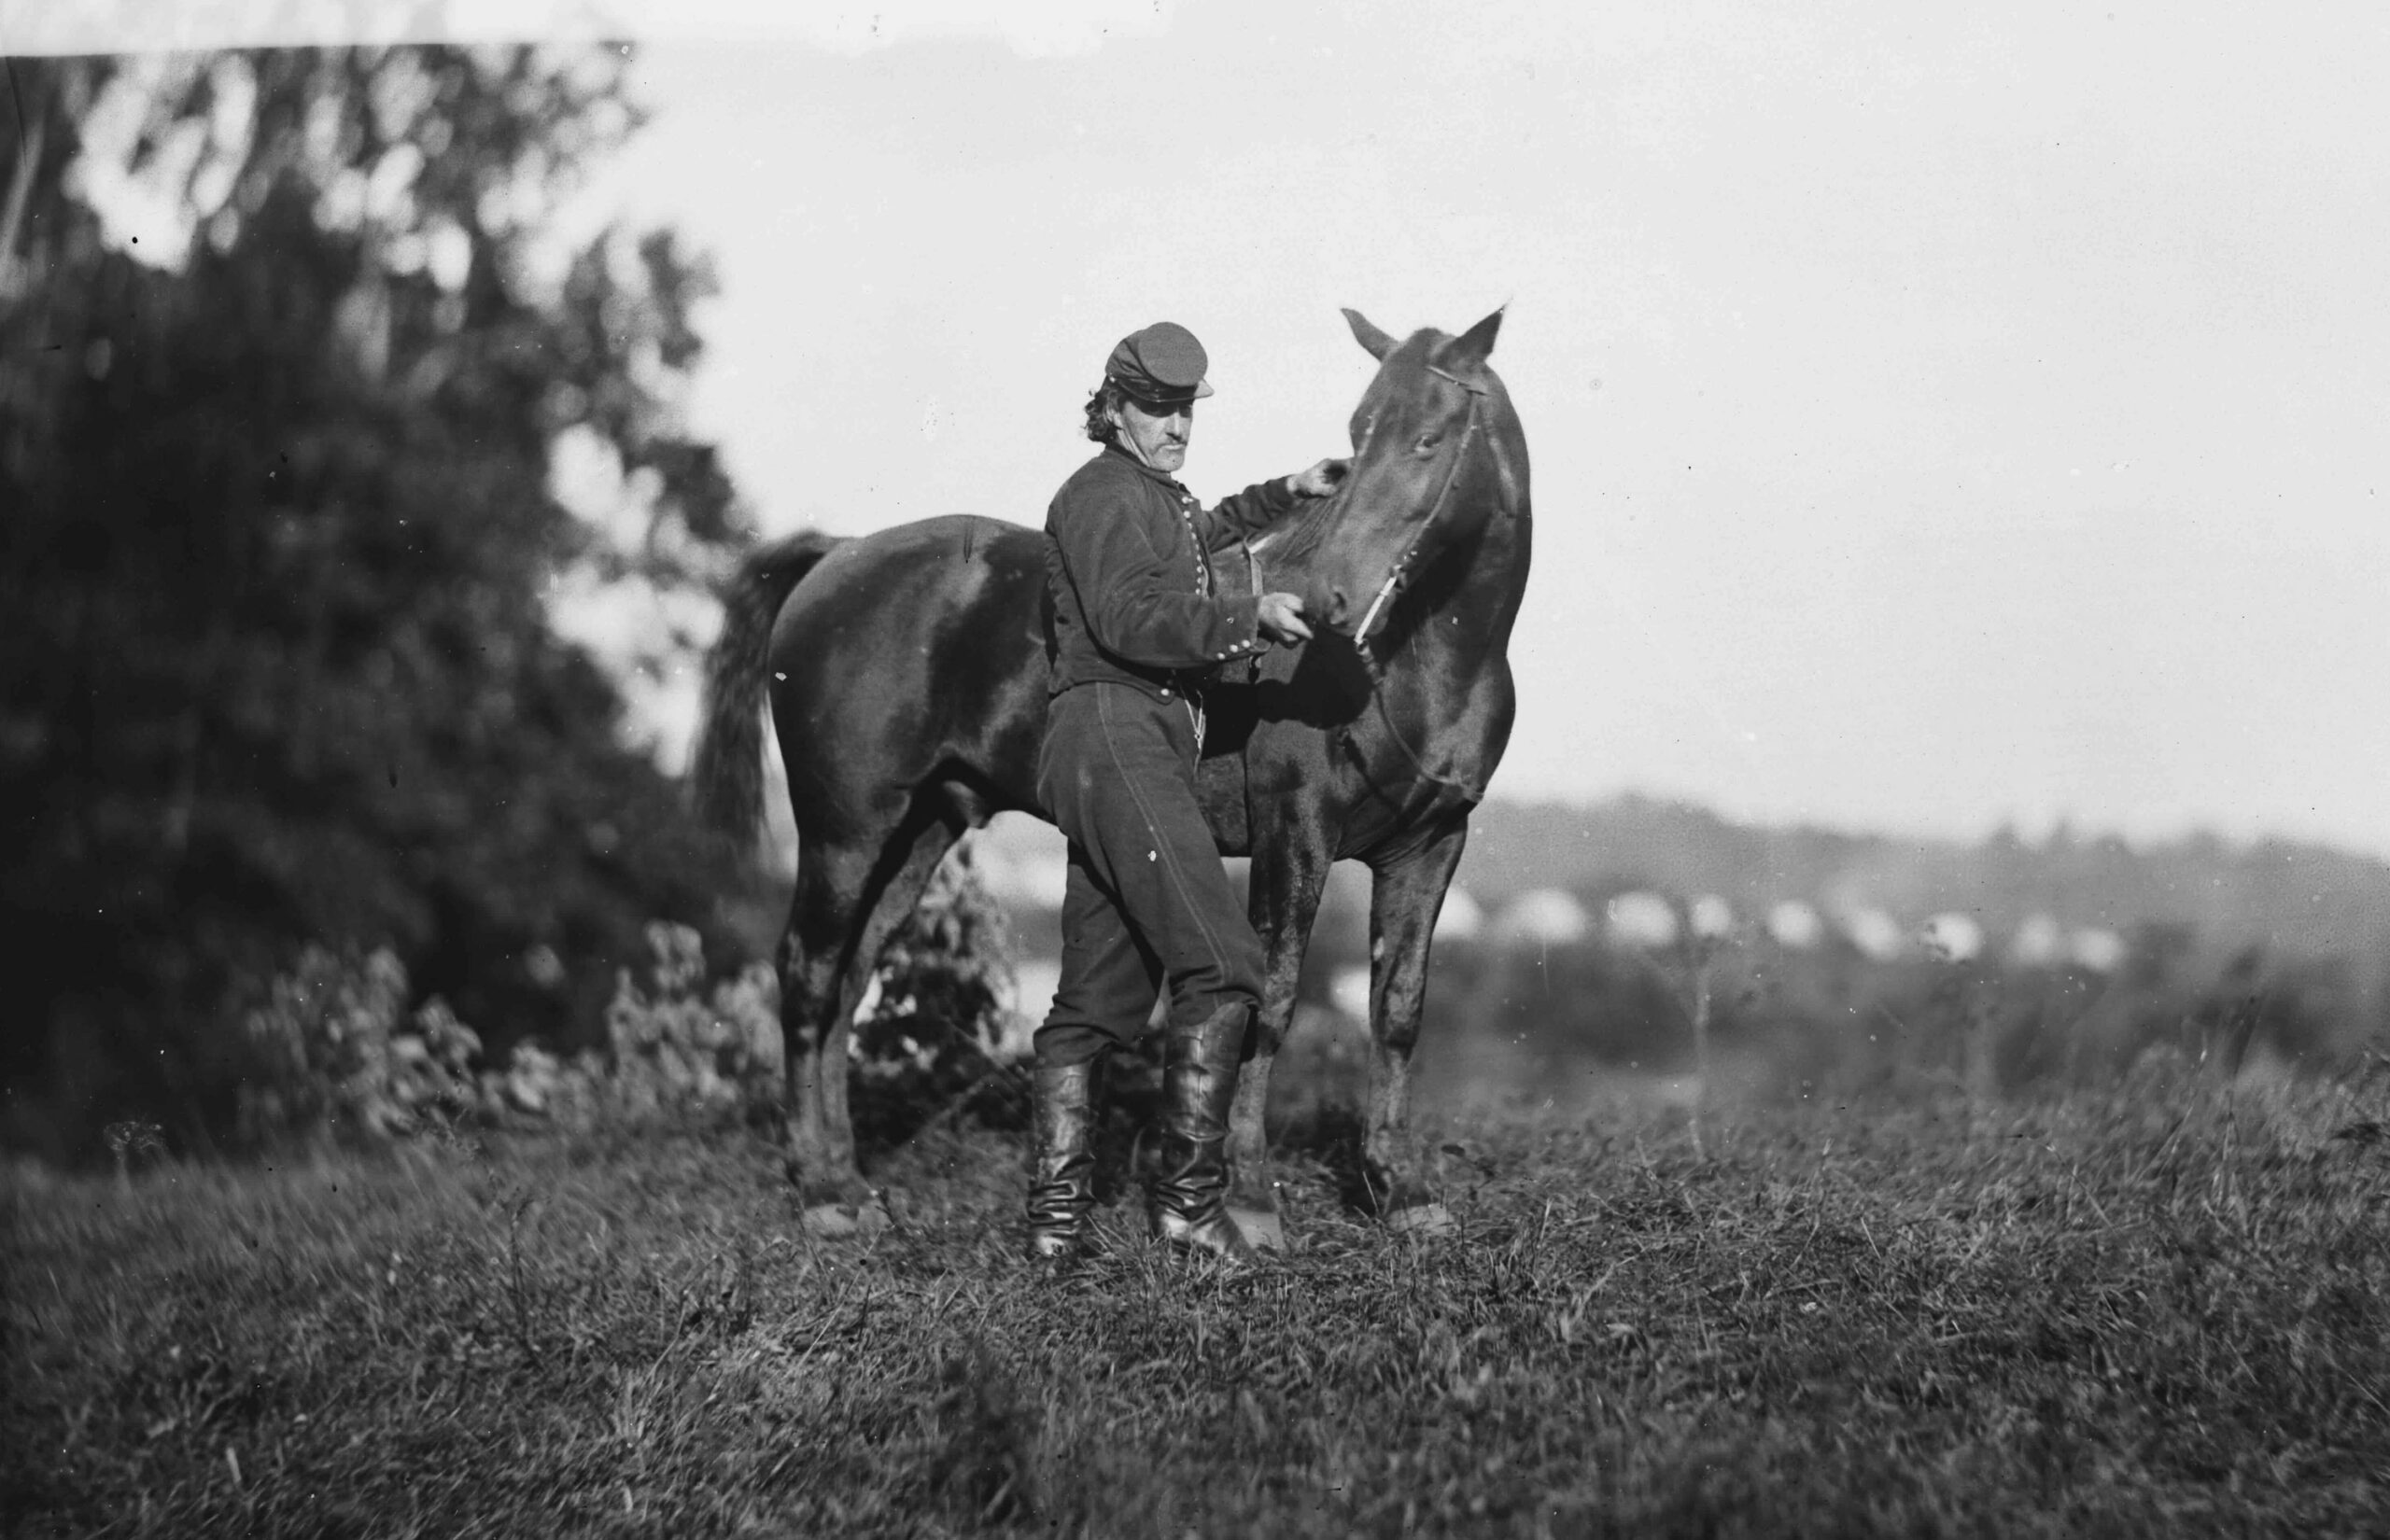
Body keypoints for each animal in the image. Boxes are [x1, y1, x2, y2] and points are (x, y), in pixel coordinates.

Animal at [691, 307, 1530, 1246]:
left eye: (1428, 439)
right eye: (1360, 431)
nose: (1330, 604)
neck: (1409, 667)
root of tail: (838, 556)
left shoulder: (1431, 846)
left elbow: (1399, 1009)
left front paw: (1401, 1191)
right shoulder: (1296, 833)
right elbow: (1271, 1004)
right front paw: (1250, 1197)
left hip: (920, 830)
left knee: (851, 978)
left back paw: (848, 1175)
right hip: (846, 828)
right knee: (808, 971)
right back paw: (821, 1190)